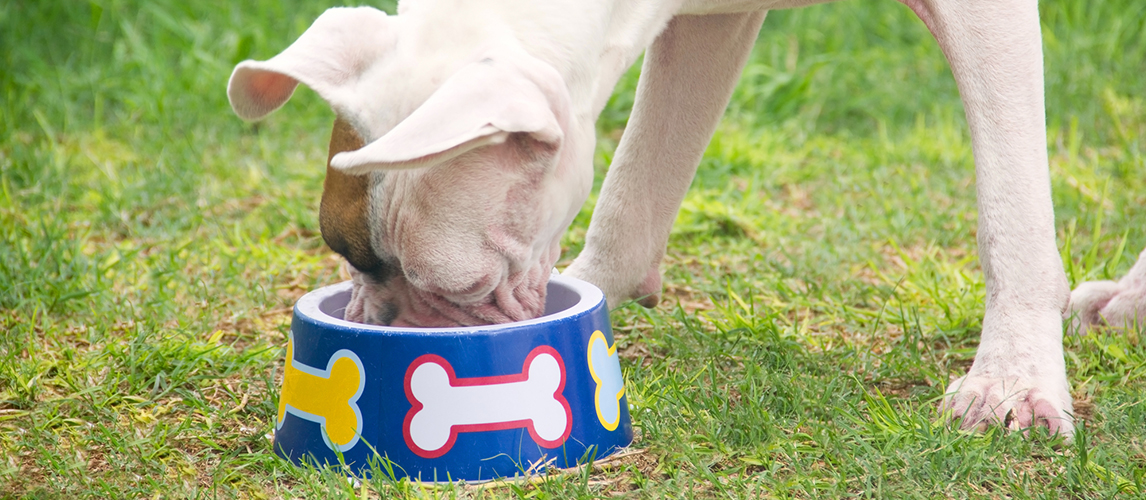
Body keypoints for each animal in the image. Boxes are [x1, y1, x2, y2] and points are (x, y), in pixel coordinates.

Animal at [228, 0, 1141, 438]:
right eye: (349, 256)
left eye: (463, 285)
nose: (387, 328)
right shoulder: (707, 23)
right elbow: (636, 185)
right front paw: (594, 299)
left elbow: (1011, 209)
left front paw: (1013, 381)